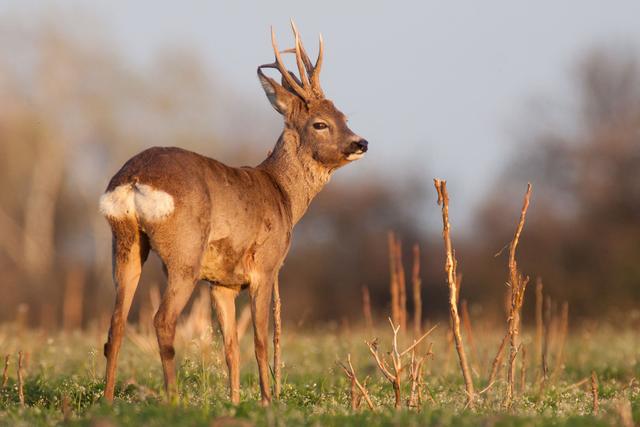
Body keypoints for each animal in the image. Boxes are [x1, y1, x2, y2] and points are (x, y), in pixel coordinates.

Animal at [97, 21, 368, 406]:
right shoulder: (266, 267)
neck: (282, 195)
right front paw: (268, 401)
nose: (361, 143)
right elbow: (259, 342)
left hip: (125, 242)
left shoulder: (221, 282)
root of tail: (133, 179)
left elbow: (230, 348)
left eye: (344, 117)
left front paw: (236, 401)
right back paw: (173, 400)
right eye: (320, 123)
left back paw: (107, 399)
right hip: (184, 253)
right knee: (162, 321)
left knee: (116, 323)